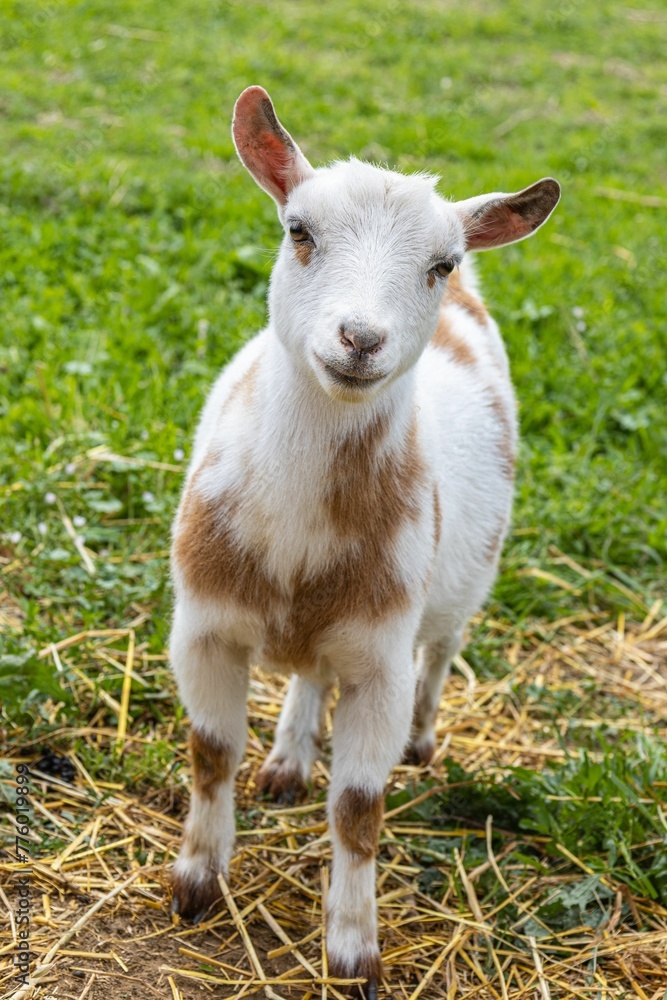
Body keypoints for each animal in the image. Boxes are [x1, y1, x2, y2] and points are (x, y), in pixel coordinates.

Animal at [169, 85, 560, 997]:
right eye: (298, 230)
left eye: (437, 263)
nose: (359, 339)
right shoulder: (203, 625)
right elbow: (211, 753)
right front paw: (197, 881)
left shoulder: (380, 655)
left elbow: (357, 809)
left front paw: (352, 950)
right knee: (311, 673)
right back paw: (286, 759)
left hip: (463, 582)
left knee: (440, 650)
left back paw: (417, 740)